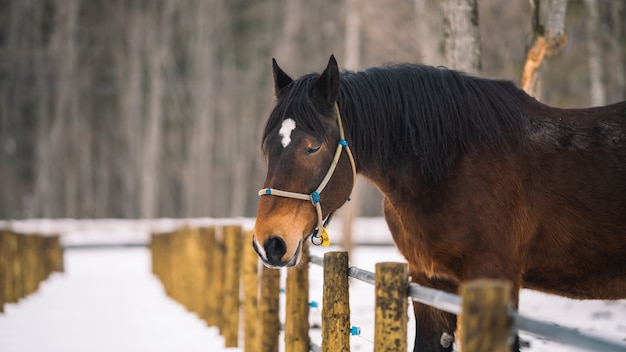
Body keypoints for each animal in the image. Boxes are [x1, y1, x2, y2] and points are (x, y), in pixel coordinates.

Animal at [252, 56, 624, 350]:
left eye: (312, 147)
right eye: (267, 146)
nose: (268, 242)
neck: (450, 167)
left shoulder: (494, 277)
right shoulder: (430, 281)